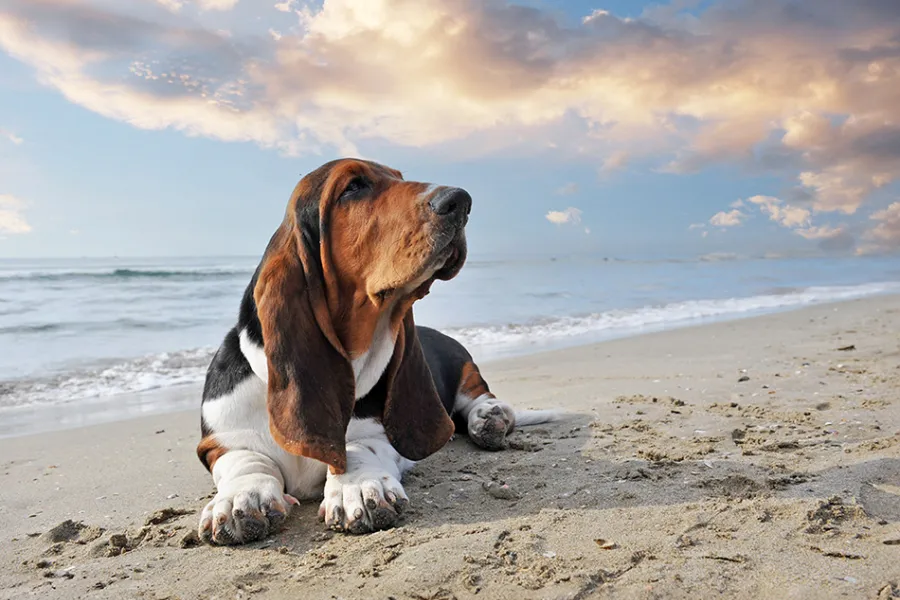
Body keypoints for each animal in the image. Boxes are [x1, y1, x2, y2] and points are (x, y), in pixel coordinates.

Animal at [197, 158, 556, 544]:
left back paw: (488, 418)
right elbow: (246, 460)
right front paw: (241, 498)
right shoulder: (219, 443)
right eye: (353, 187)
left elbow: (359, 446)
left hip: (465, 368)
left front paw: (358, 486)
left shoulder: (382, 435)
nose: (460, 201)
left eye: (399, 178)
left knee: (483, 398)